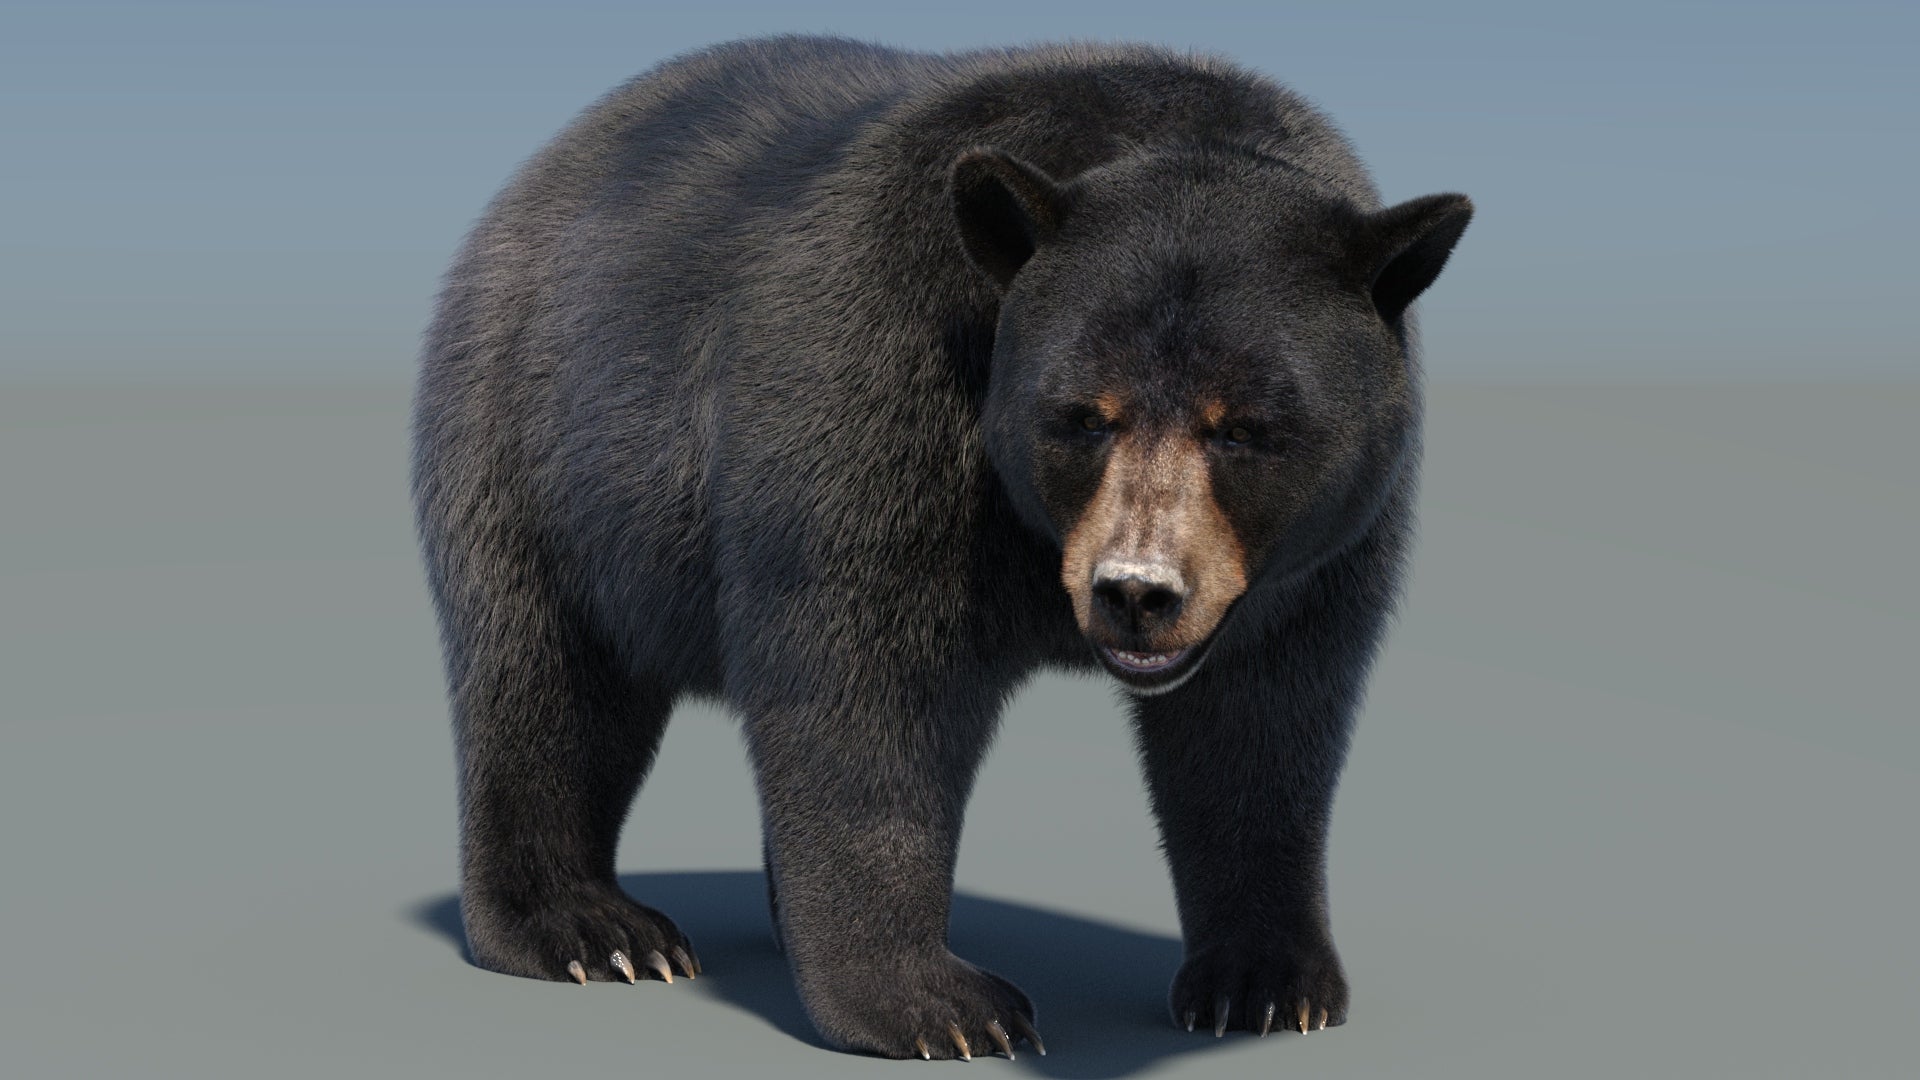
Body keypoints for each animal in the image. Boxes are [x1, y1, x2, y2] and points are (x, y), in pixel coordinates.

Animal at [411, 34, 1470, 1060]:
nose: (1136, 591)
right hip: (538, 438)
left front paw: (1265, 984)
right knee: (548, 673)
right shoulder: (889, 369)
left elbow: (1261, 721)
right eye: (1083, 416)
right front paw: (936, 1004)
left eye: (1244, 428)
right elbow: (866, 683)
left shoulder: (1320, 553)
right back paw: (589, 930)